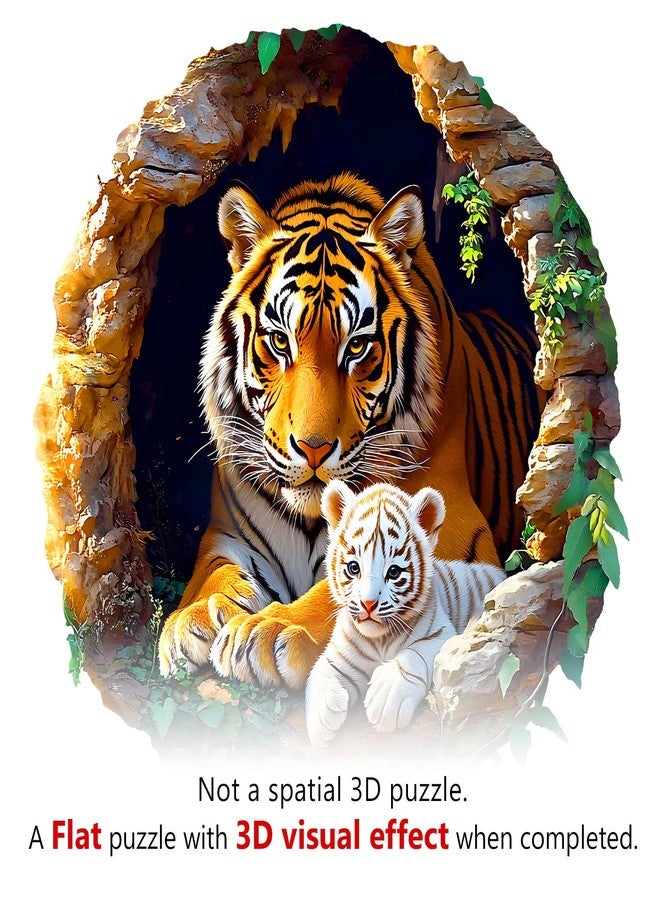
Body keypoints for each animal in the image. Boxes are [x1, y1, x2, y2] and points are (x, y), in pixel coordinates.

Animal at [157, 173, 542, 691]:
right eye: (279, 340)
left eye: (357, 347)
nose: (313, 450)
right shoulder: (228, 534)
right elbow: (213, 571)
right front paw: (190, 620)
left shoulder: (453, 531)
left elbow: (346, 586)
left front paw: (267, 632)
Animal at [305, 480, 505, 746]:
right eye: (354, 567)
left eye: (394, 572)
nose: (368, 603)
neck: (379, 638)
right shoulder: (341, 654)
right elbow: (322, 671)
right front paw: (321, 720)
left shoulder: (441, 634)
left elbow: (413, 655)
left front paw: (387, 698)